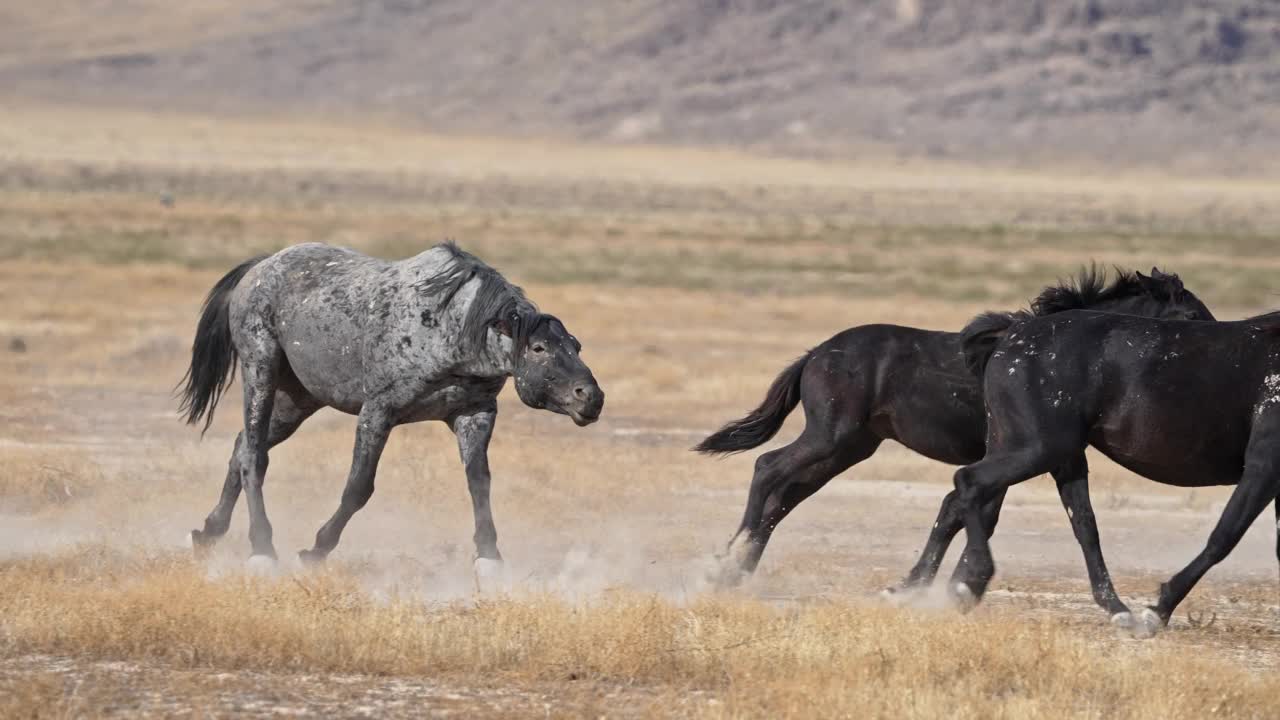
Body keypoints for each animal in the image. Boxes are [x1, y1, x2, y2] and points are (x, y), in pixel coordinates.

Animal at [176, 240, 609, 576]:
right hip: (260, 371)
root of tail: (260, 266)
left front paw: (489, 558)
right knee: (254, 456)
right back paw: (262, 549)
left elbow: (479, 483)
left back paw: (208, 533)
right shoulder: (378, 413)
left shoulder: (475, 415)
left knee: (243, 447)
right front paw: (316, 549)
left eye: (576, 345)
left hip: (296, 400)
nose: (591, 397)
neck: (448, 329)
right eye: (538, 348)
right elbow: (358, 487)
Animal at [696, 265, 1213, 599]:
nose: (1212, 341)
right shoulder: (1016, 454)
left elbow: (971, 514)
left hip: (850, 448)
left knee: (786, 495)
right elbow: (972, 512)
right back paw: (725, 563)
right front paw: (953, 585)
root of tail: (816, 354)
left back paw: (736, 569)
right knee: (768, 468)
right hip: (830, 436)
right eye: (1190, 315)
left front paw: (931, 585)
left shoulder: (1057, 456)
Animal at [947, 307, 1280, 632]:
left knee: (1080, 524)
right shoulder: (1263, 465)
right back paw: (971, 580)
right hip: (1039, 448)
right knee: (969, 481)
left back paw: (1116, 609)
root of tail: (1013, 332)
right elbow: (1225, 536)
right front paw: (1158, 610)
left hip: (1044, 451)